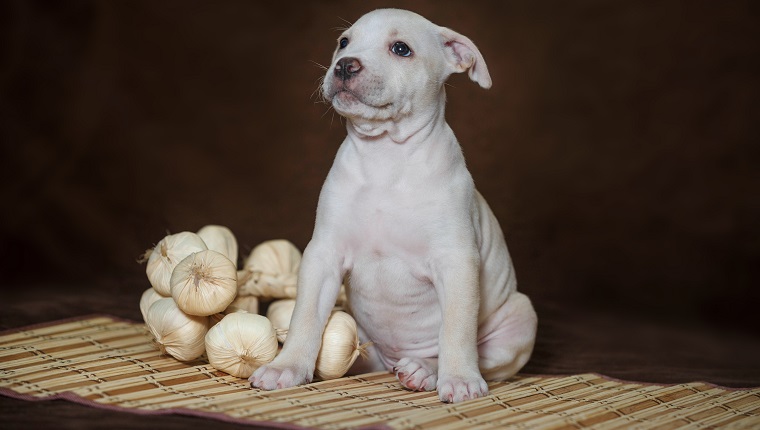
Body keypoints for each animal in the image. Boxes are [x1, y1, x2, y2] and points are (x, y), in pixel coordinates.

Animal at [252, 7, 536, 404]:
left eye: (401, 49)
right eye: (344, 42)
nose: (344, 65)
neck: (385, 157)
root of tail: (387, 363)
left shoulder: (457, 261)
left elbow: (458, 328)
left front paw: (460, 378)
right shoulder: (323, 255)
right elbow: (304, 316)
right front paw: (286, 367)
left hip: (520, 318)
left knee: (479, 354)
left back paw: (425, 370)